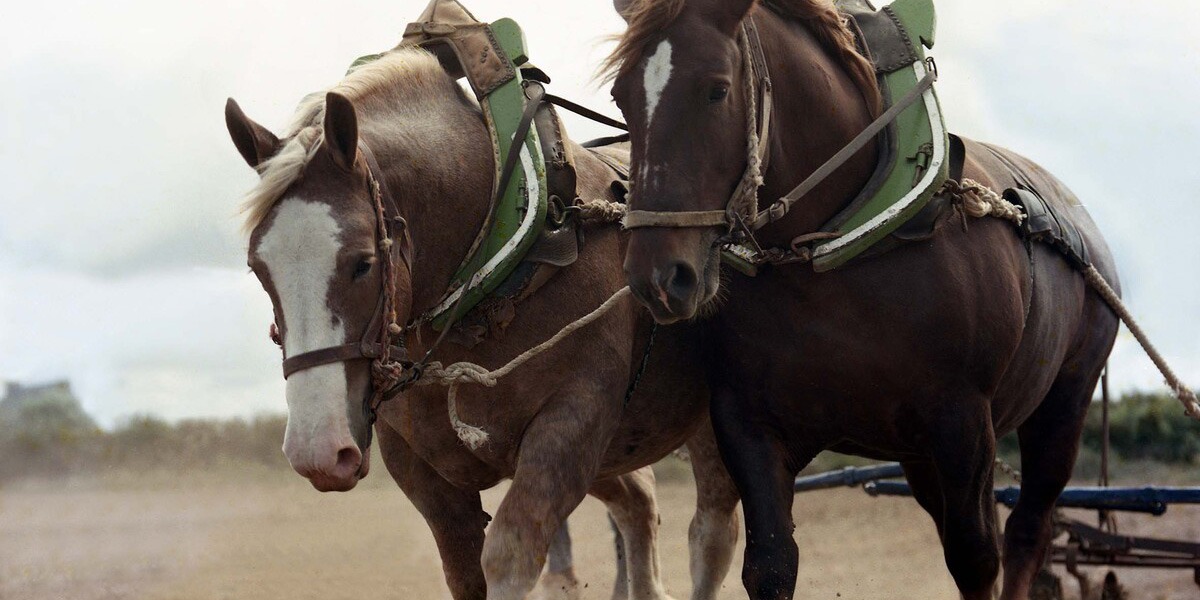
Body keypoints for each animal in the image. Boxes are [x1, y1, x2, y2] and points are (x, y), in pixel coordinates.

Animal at [220, 48, 734, 600]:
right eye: (258, 268)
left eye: (362, 262)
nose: (316, 449)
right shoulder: (418, 469)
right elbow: (465, 570)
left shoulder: (571, 427)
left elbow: (509, 557)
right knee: (639, 505)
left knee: (711, 535)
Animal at [609, 1, 1123, 600]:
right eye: (621, 97)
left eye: (716, 90)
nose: (657, 276)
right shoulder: (747, 423)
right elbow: (771, 564)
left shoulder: (964, 421)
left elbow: (976, 559)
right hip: (919, 454)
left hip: (1062, 406)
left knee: (1026, 532)